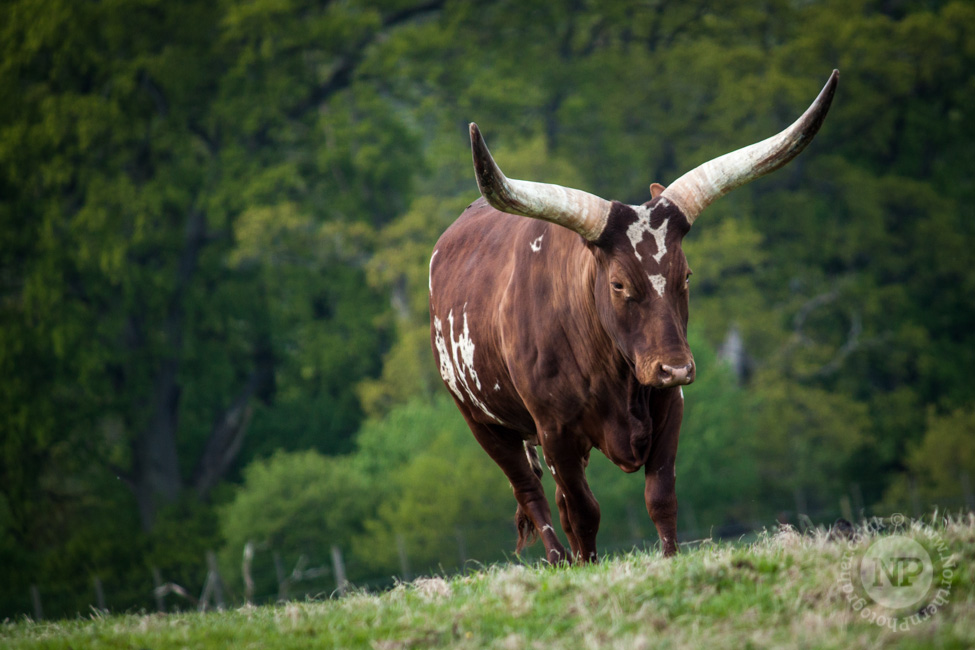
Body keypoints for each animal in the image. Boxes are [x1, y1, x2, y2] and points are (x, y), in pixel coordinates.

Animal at [428, 69, 840, 556]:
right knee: (531, 494)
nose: (675, 367)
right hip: (482, 421)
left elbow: (660, 497)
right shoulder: (554, 431)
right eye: (619, 284)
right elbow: (584, 512)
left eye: (686, 275)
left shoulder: (669, 406)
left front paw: (670, 558)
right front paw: (587, 564)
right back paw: (559, 559)